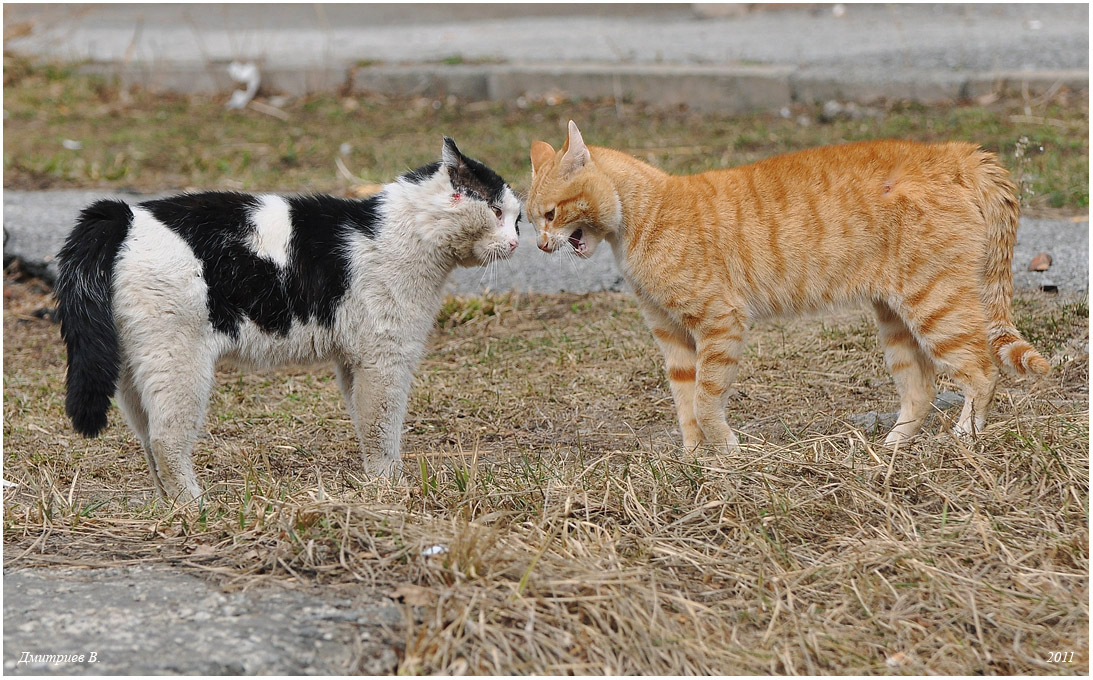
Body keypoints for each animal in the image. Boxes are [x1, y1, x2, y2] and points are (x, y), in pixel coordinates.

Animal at [55, 138, 524, 502]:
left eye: (517, 219)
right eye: (498, 213)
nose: (517, 241)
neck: (402, 232)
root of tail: (126, 215)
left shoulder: (354, 363)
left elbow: (365, 423)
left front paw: (378, 484)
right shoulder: (385, 360)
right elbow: (382, 429)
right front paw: (390, 488)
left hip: (135, 370)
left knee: (148, 440)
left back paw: (168, 505)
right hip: (178, 363)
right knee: (166, 441)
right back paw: (194, 506)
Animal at [526, 122, 1049, 452]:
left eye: (550, 214)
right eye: (529, 219)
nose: (540, 245)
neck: (645, 214)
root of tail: (953, 152)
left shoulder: (719, 323)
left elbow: (705, 399)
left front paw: (726, 452)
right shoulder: (671, 336)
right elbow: (684, 403)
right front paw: (693, 459)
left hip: (936, 306)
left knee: (982, 372)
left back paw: (964, 439)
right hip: (896, 319)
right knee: (920, 389)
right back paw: (890, 448)